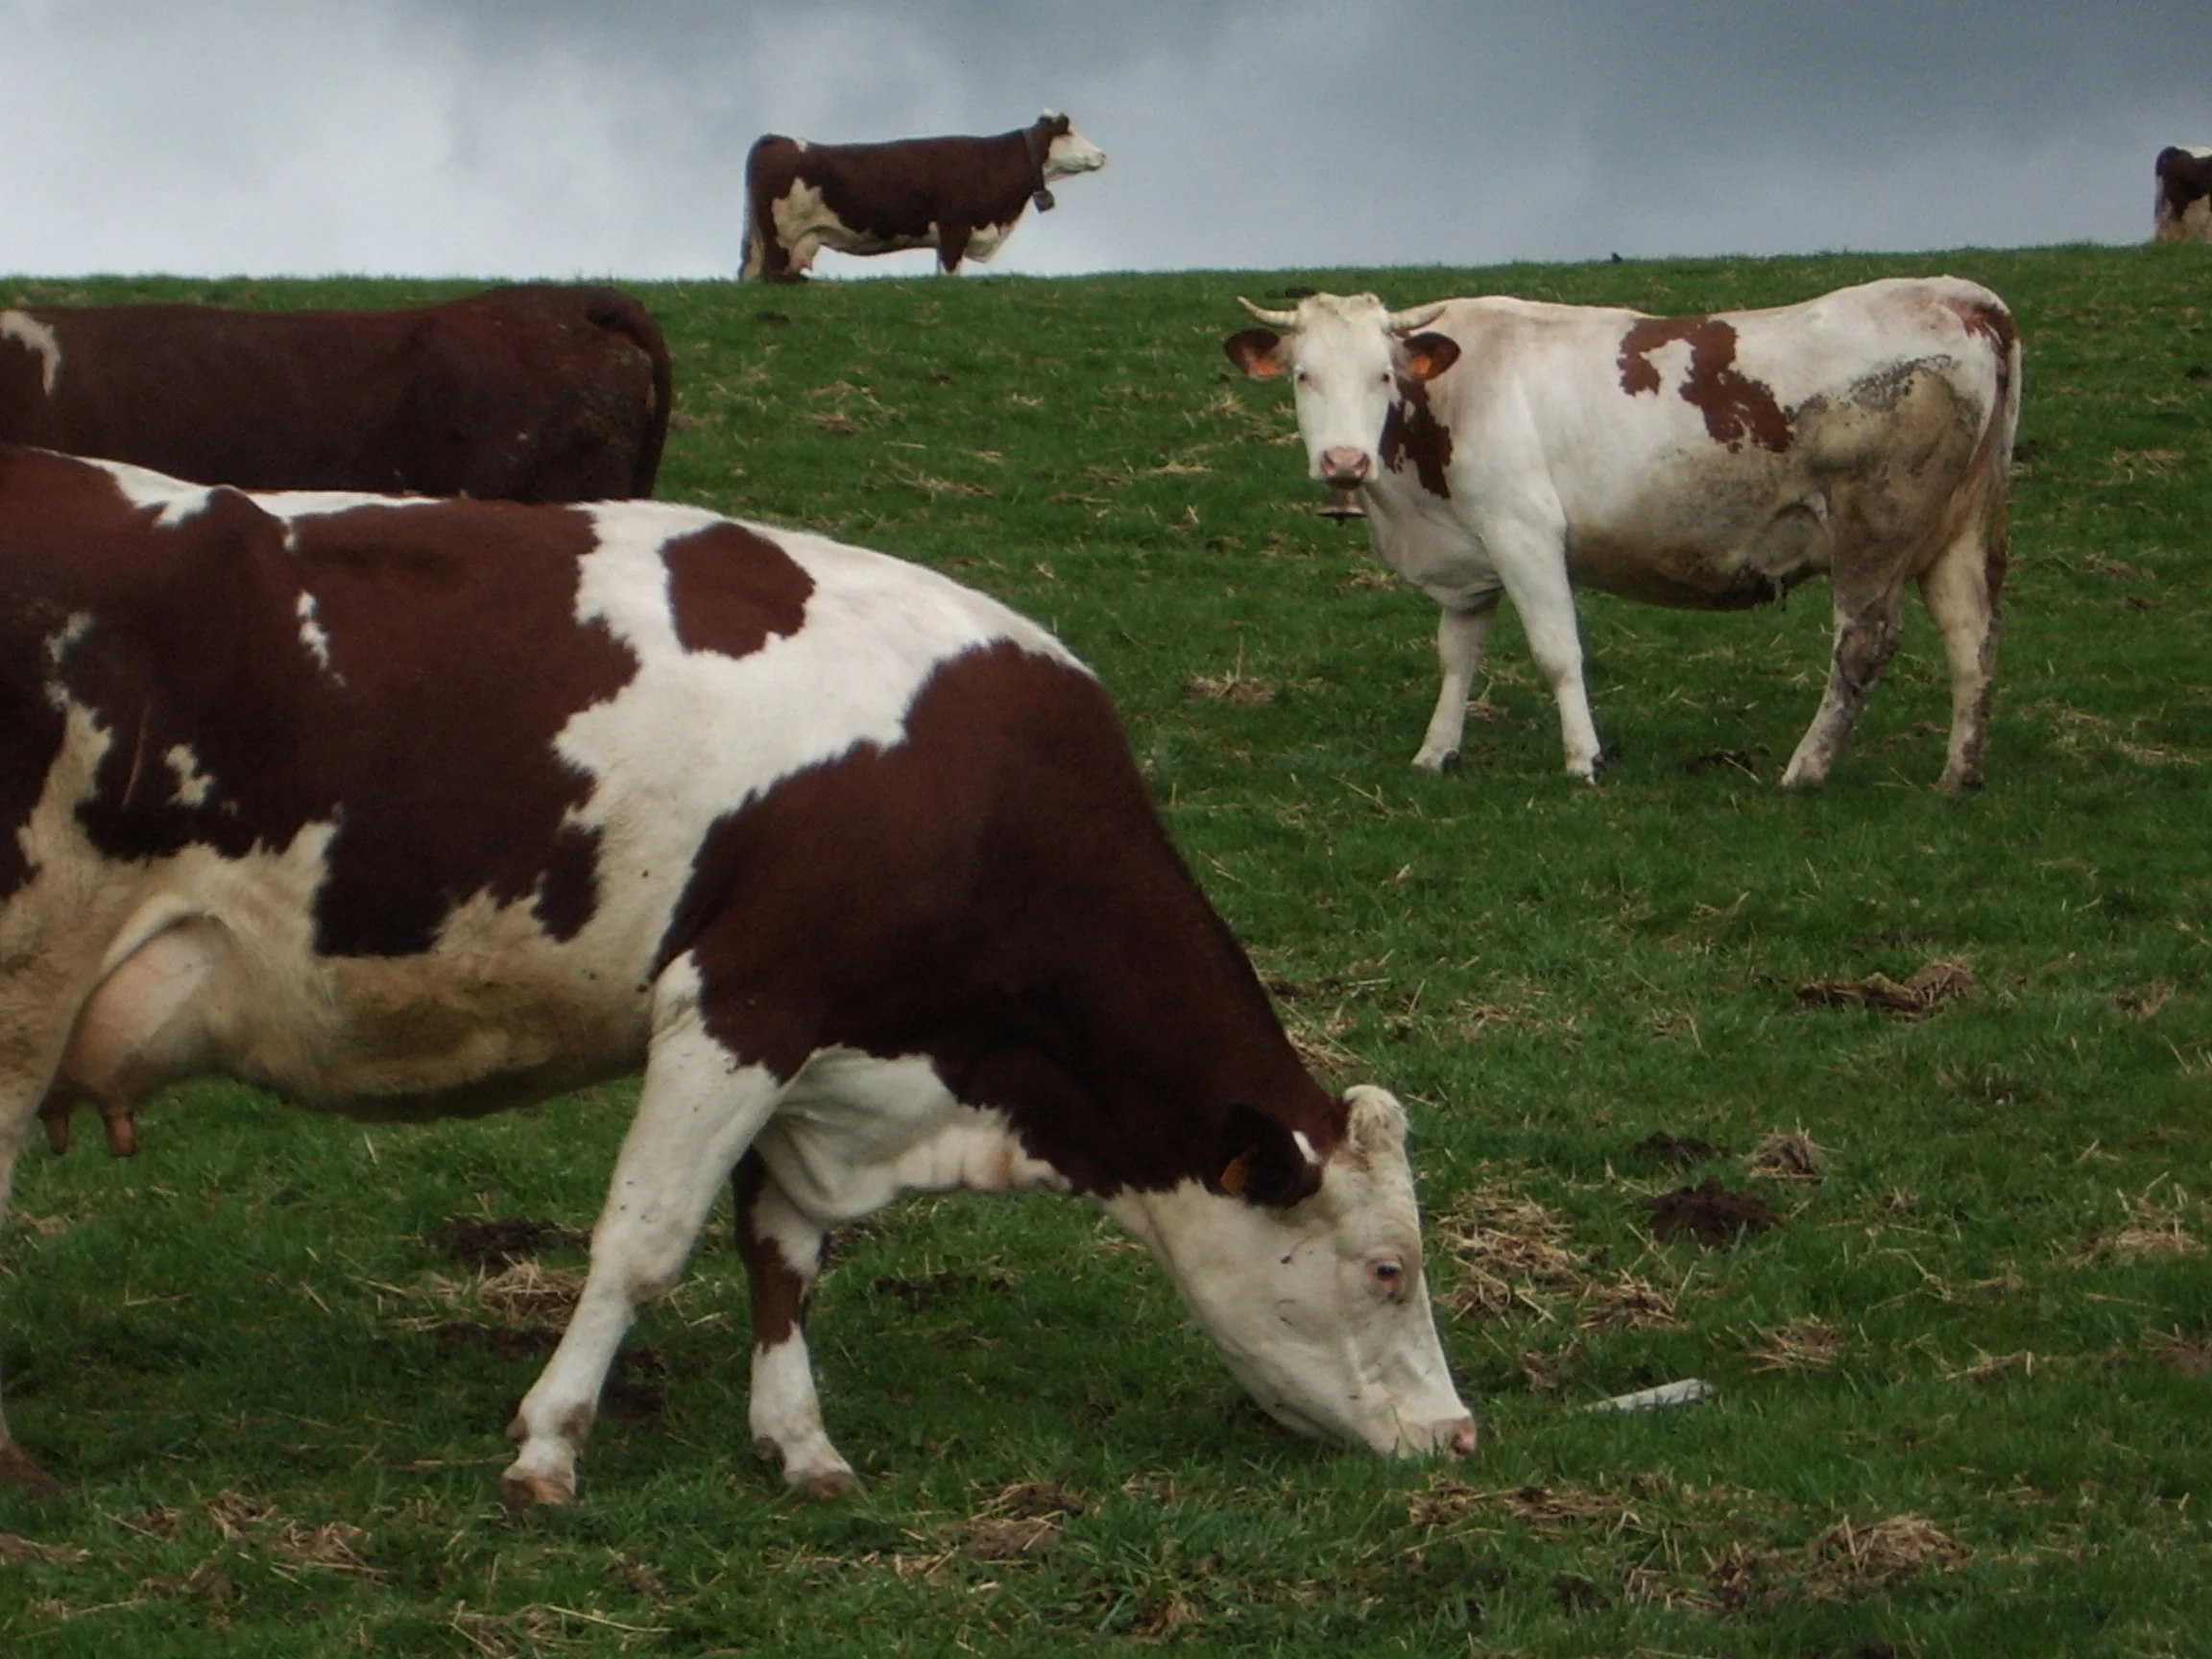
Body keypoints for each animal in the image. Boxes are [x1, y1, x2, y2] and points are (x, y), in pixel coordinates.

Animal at [0, 444, 1473, 1504]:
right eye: (1387, 1269)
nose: (1460, 1437)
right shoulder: (740, 1002)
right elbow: (647, 1241)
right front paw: (549, 1447)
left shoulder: (822, 1043)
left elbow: (784, 1249)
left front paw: (798, 1445)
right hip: (24, 981)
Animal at [740, 112, 1106, 282]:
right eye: (1071, 133)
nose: (1103, 154)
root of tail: (775, 139)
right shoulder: (954, 228)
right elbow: (949, 274)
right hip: (779, 239)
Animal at [1225, 279, 2020, 791]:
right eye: (1302, 376)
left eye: (1383, 376)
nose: (1344, 461)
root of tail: (1950, 294)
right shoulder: (1468, 554)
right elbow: (1457, 656)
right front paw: (1436, 753)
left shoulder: (1523, 529)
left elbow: (1556, 653)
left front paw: (1585, 760)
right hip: (1952, 532)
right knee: (1972, 639)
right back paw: (1959, 774)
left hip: (1875, 528)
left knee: (1863, 645)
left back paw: (1805, 770)